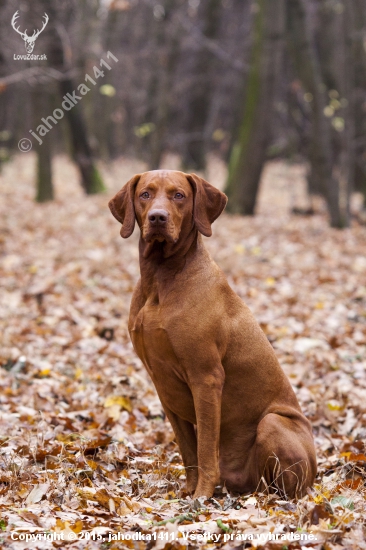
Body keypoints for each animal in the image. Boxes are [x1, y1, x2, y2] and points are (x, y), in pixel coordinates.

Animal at [109, 171, 318, 500]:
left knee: (287, 489)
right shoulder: (163, 385)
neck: (160, 278)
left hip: (273, 423)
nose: (157, 217)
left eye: (179, 195)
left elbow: (206, 450)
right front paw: (188, 491)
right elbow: (189, 451)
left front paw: (200, 497)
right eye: (145, 194)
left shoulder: (205, 378)